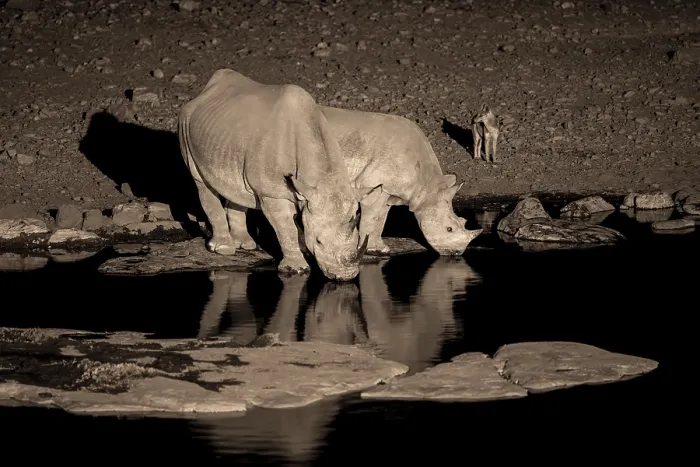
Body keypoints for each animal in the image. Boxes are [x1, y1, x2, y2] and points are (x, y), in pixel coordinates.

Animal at [178, 69, 382, 281]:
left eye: (357, 238)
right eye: (319, 242)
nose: (346, 276)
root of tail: (206, 91)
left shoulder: (304, 190)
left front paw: (303, 249)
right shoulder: (272, 193)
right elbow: (286, 227)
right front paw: (296, 267)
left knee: (236, 188)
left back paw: (245, 245)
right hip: (185, 122)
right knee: (201, 181)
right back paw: (223, 249)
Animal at [318, 106, 483, 256]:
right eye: (449, 229)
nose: (457, 253)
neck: (426, 187)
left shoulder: (389, 188)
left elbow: (380, 217)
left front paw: (380, 249)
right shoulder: (373, 182)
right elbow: (373, 215)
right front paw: (370, 250)